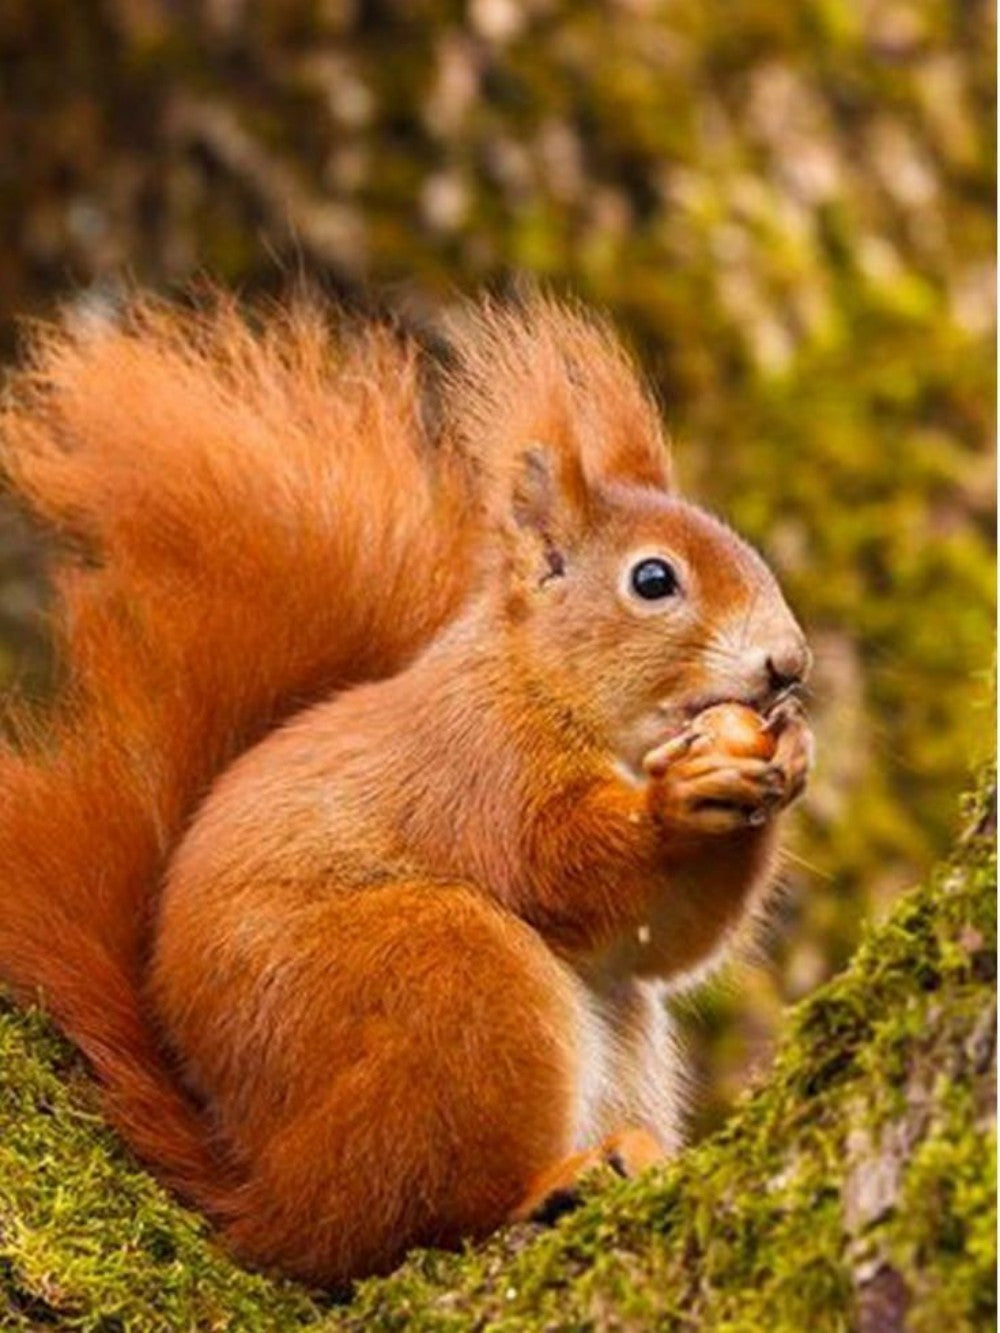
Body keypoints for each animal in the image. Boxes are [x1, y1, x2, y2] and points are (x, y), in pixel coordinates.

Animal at [0, 292, 812, 1286]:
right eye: (653, 579)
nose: (788, 664)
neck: (543, 685)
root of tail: (263, 1194)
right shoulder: (480, 766)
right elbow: (561, 870)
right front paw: (676, 804)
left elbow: (665, 939)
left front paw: (789, 756)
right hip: (447, 977)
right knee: (415, 1219)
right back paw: (549, 1182)